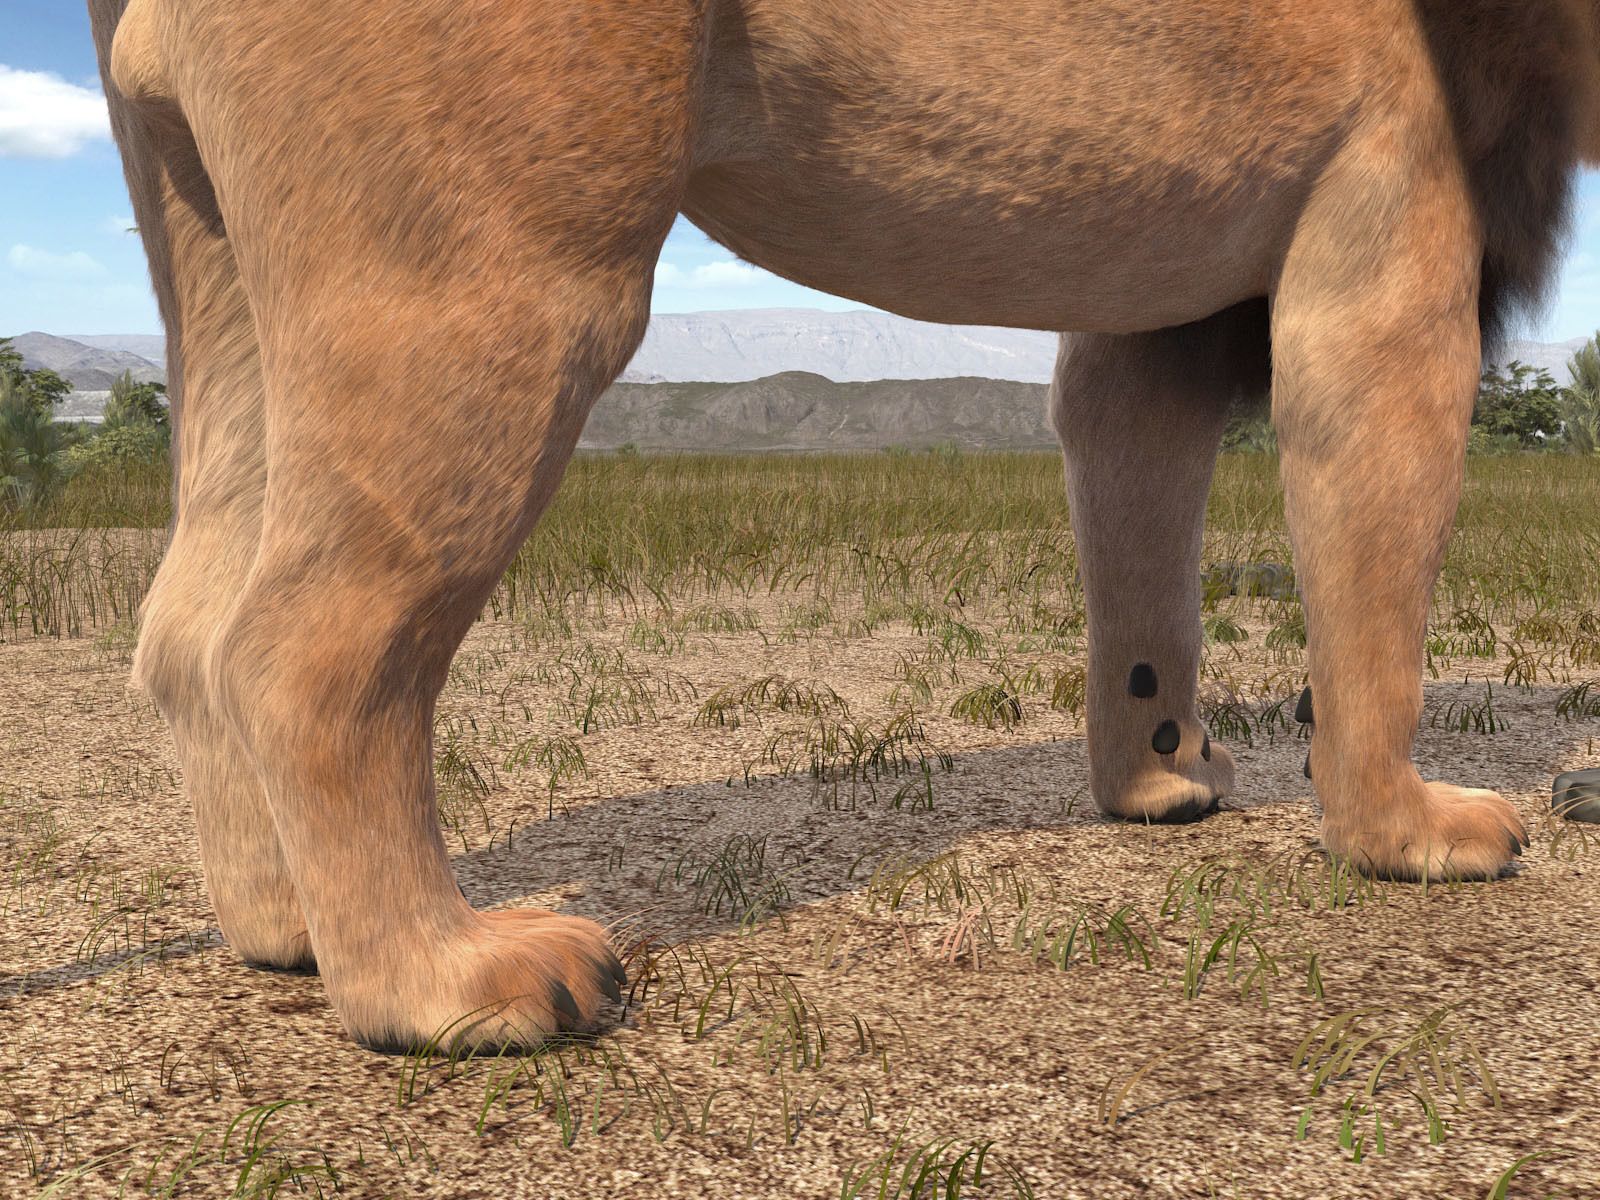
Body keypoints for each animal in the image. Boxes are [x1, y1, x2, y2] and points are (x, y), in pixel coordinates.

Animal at [85, 0, 1600, 1051]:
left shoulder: (1155, 312)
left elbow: (1142, 557)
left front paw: (1163, 786)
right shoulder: (1394, 223)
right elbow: (1377, 590)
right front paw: (1417, 832)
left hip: (219, 256)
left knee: (188, 625)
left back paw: (289, 929)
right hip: (499, 271)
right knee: (300, 642)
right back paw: (451, 978)